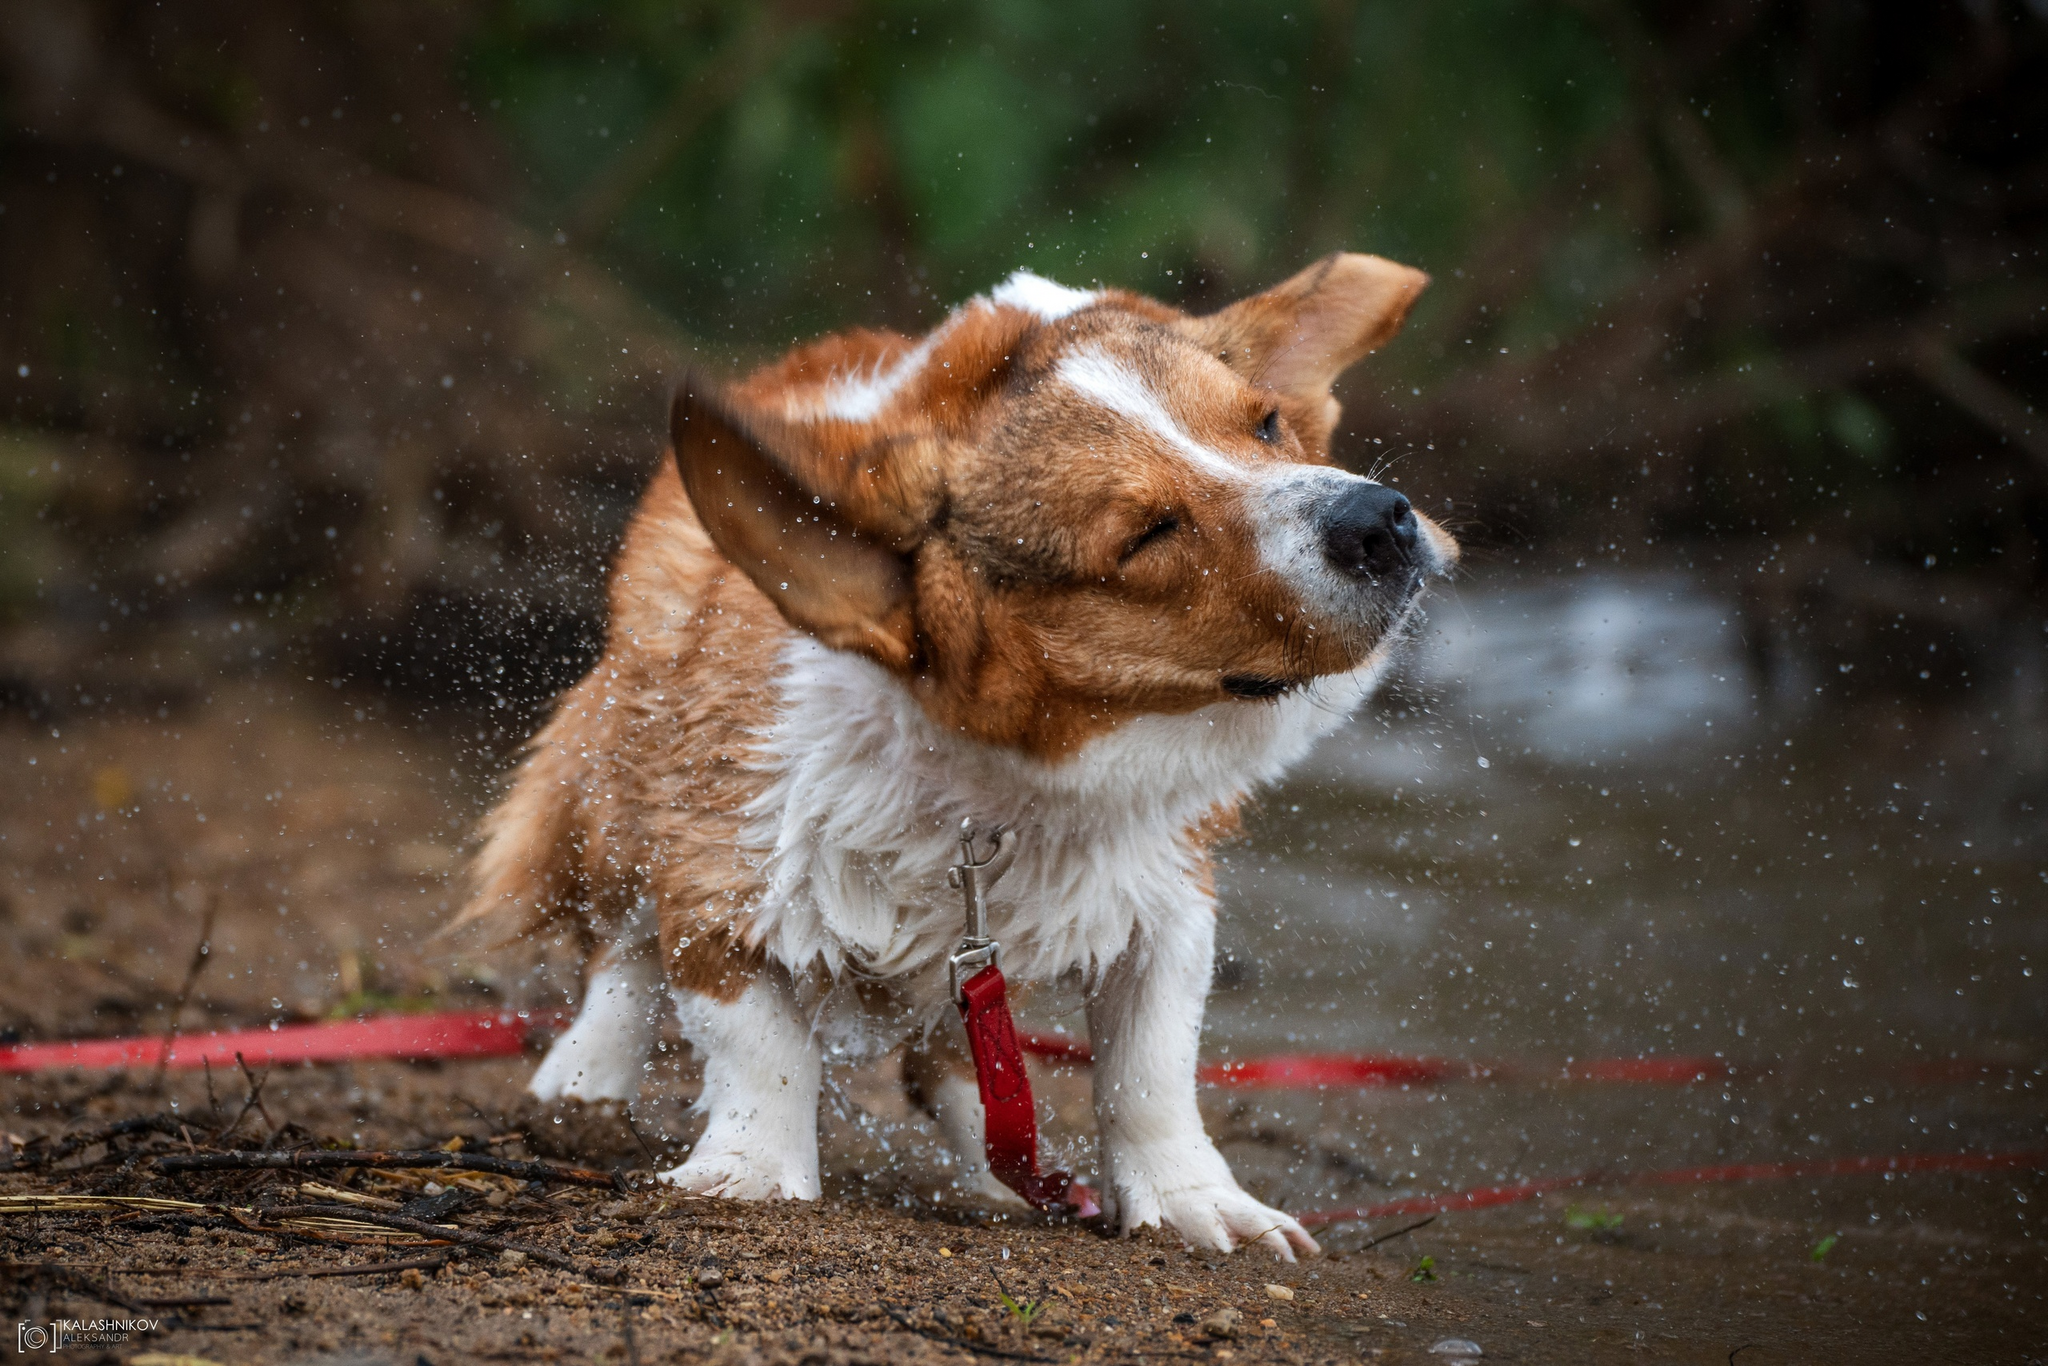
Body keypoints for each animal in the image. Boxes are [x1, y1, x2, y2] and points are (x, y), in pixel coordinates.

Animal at [458, 253, 1466, 1261]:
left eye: (1266, 424)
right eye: (1146, 534)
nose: (1383, 518)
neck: (996, 786)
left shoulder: (1164, 901)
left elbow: (1149, 1072)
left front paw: (1194, 1202)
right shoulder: (722, 876)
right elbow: (757, 1046)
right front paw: (751, 1174)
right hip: (624, 787)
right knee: (623, 944)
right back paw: (585, 1077)